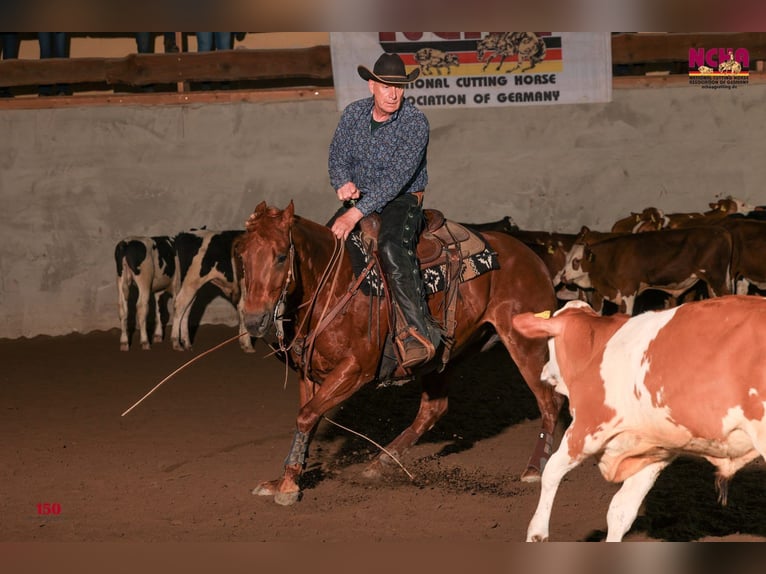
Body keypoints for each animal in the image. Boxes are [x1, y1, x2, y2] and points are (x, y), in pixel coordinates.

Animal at [237, 200, 568, 506]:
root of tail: (531, 256)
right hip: (446, 355)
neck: (333, 283)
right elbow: (308, 417)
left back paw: (533, 469)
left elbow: (306, 416)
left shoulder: (355, 369)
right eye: (242, 256)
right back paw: (381, 462)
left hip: (526, 345)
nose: (253, 320)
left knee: (550, 401)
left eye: (281, 256)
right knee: (434, 408)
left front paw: (287, 486)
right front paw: (286, 479)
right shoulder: (311, 374)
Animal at [512, 296, 766, 544]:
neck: (595, 349)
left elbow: (552, 471)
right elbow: (620, 511)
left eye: (549, 342)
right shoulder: (653, 450)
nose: (544, 371)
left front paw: (537, 532)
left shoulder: (587, 427)